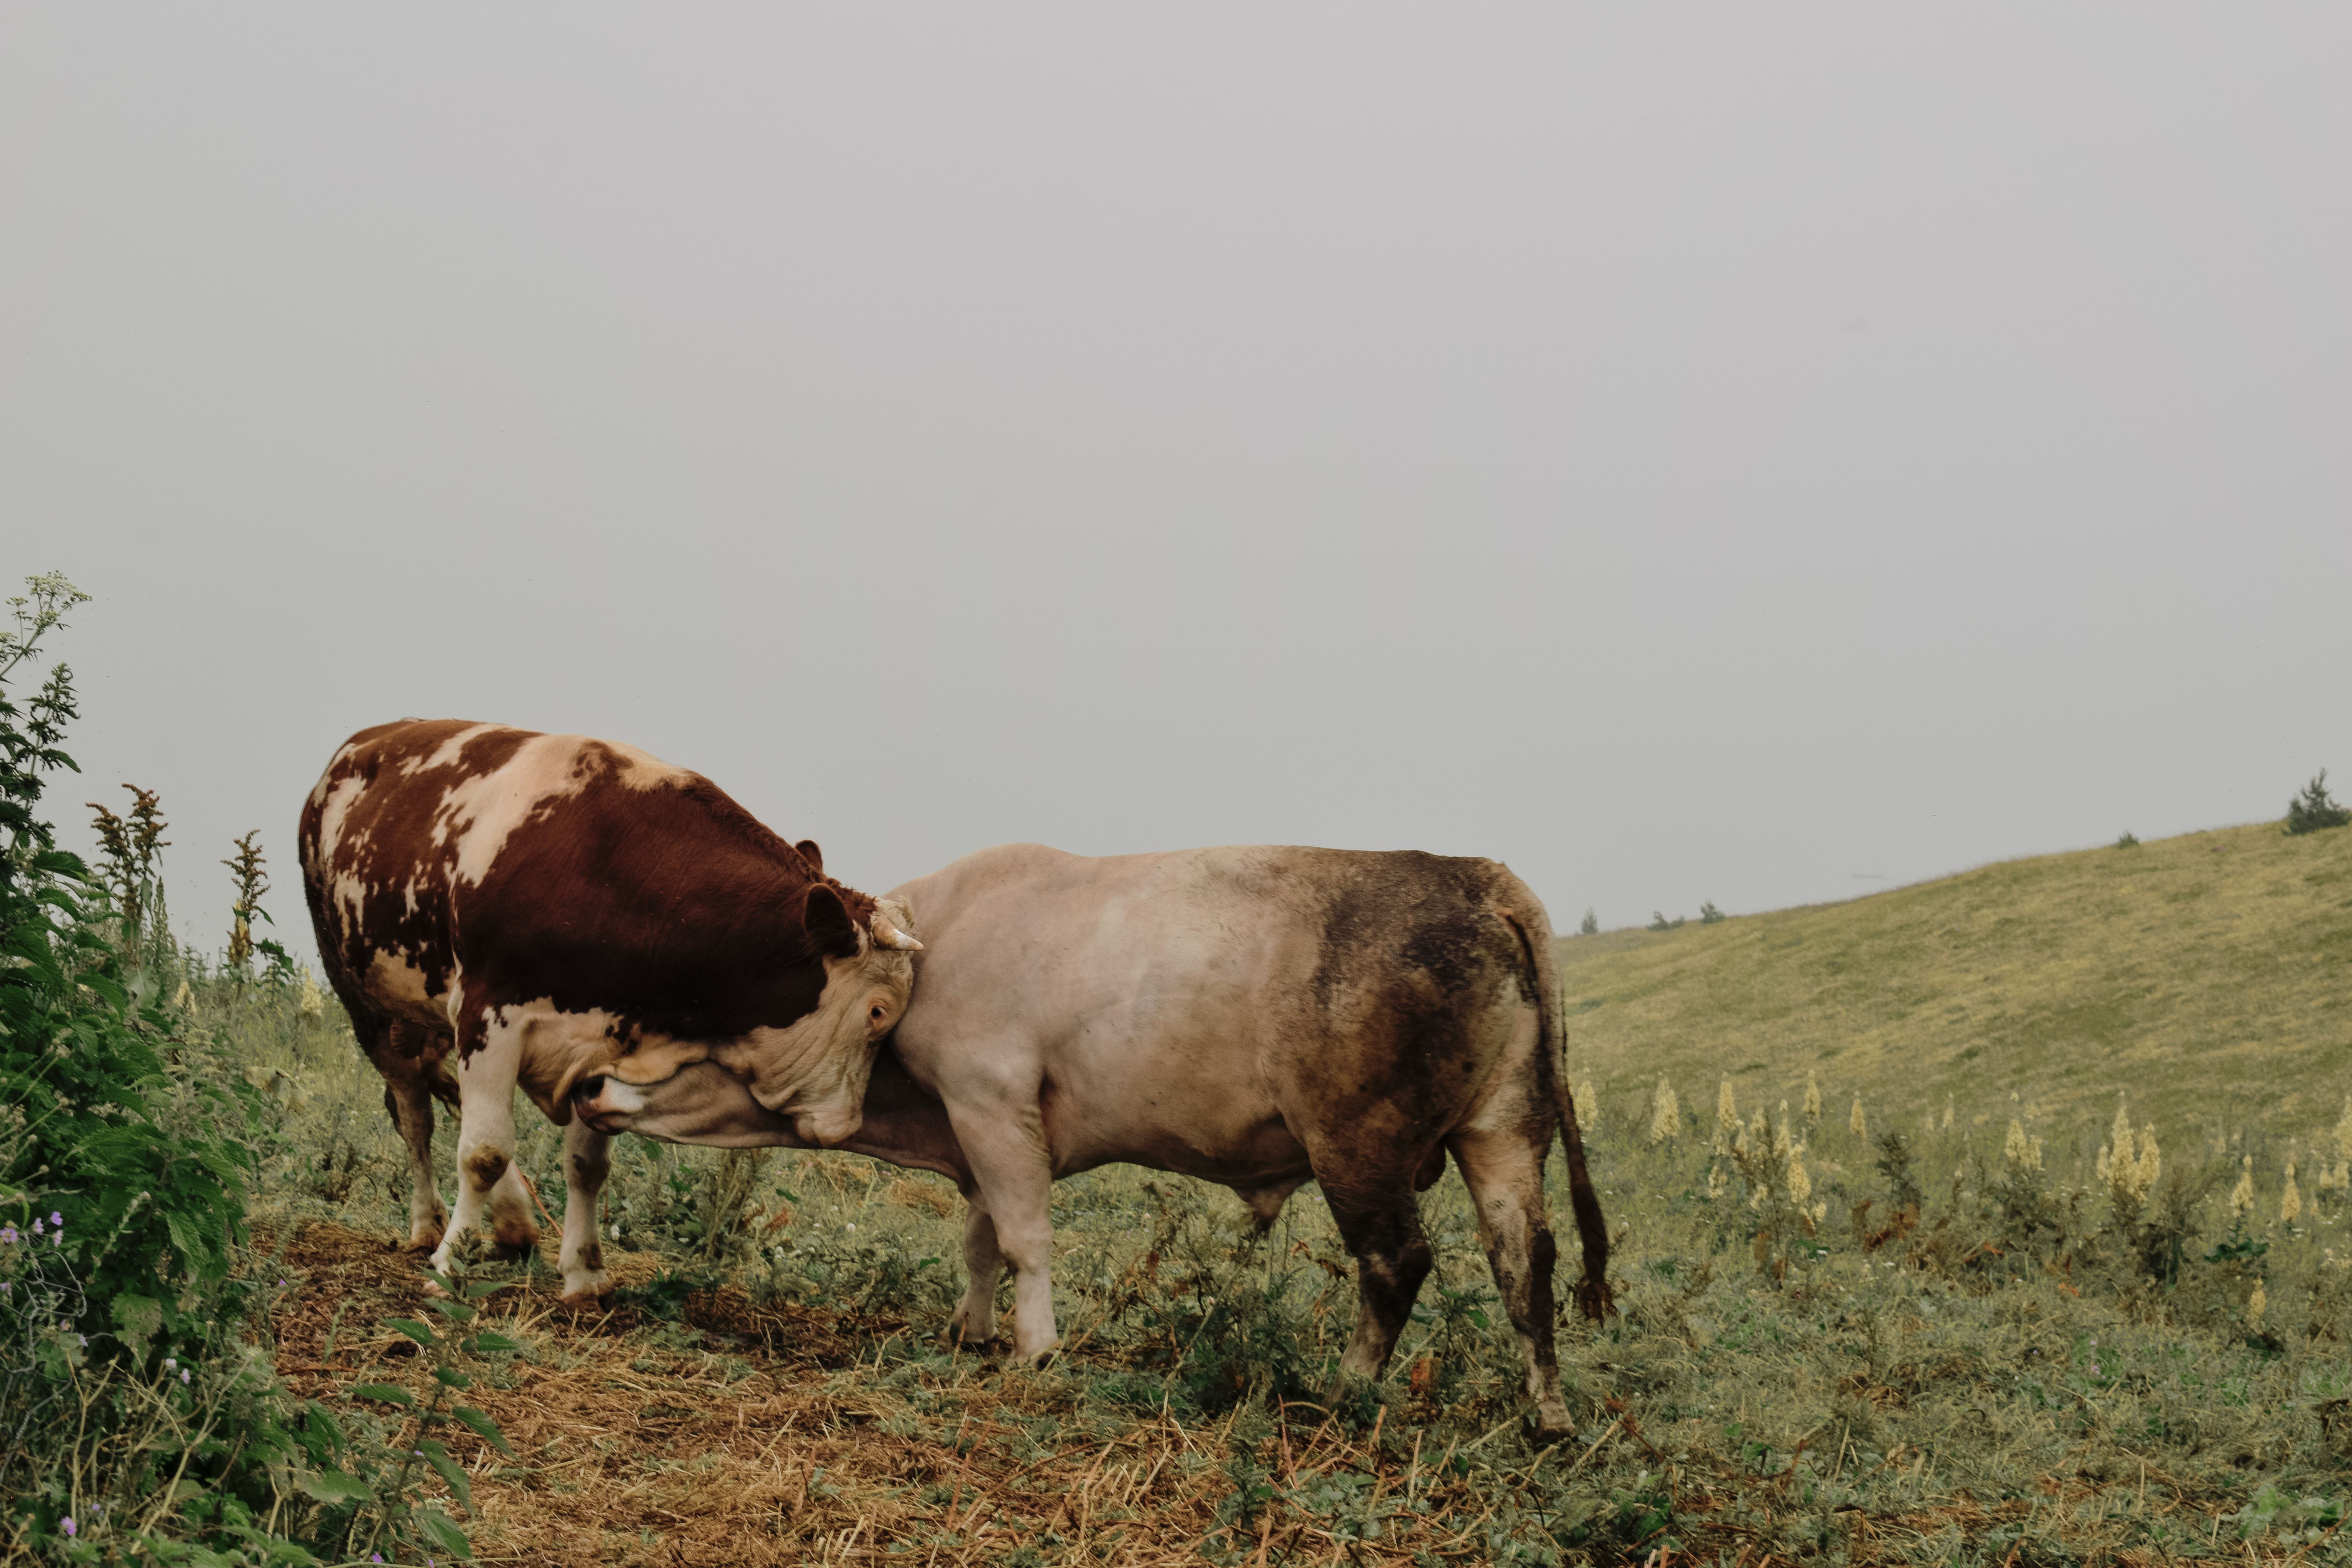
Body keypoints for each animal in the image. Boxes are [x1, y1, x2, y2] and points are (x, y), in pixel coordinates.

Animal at [297, 719, 922, 1302]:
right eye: (878, 1012)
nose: (845, 1125)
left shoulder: (599, 1043)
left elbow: (586, 1166)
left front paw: (584, 1273)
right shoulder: (489, 1013)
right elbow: (484, 1152)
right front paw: (451, 1266)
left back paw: (513, 1223)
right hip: (365, 997)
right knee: (413, 1111)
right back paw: (429, 1227)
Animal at [574, 842, 1613, 1438]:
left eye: (696, 1030)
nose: (587, 1086)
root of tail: (1473, 875)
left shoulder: (993, 1099)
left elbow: (1026, 1236)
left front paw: (1035, 1348)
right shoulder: (971, 1127)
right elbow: (982, 1240)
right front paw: (972, 1330)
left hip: (1360, 1145)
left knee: (1397, 1261)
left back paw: (1341, 1396)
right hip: (1503, 1129)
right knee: (1526, 1260)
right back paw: (1548, 1415)